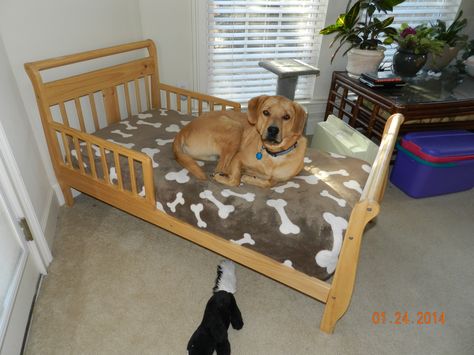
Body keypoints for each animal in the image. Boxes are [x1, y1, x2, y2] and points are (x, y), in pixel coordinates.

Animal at [173, 94, 308, 189]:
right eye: (266, 112)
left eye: (286, 117)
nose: (273, 130)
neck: (273, 156)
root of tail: (183, 130)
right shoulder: (238, 158)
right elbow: (235, 180)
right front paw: (243, 177)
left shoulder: (279, 179)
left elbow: (269, 183)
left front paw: (251, 179)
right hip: (235, 128)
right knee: (220, 168)